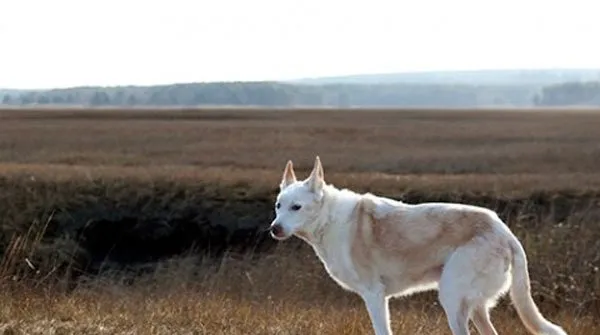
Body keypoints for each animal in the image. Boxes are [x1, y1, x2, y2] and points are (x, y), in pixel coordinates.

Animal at [268, 158, 568, 335]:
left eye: (297, 207)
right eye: (278, 206)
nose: (274, 229)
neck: (328, 219)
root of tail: (505, 233)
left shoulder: (374, 295)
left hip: (452, 299)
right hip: (474, 305)